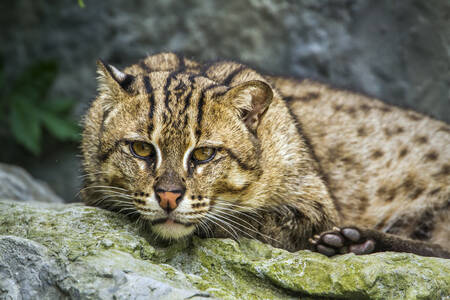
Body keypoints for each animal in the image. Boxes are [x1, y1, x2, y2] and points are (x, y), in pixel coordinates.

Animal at [81, 51, 450, 258]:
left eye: (204, 154)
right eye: (142, 148)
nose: (169, 197)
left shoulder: (317, 203)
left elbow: (254, 221)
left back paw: (355, 241)